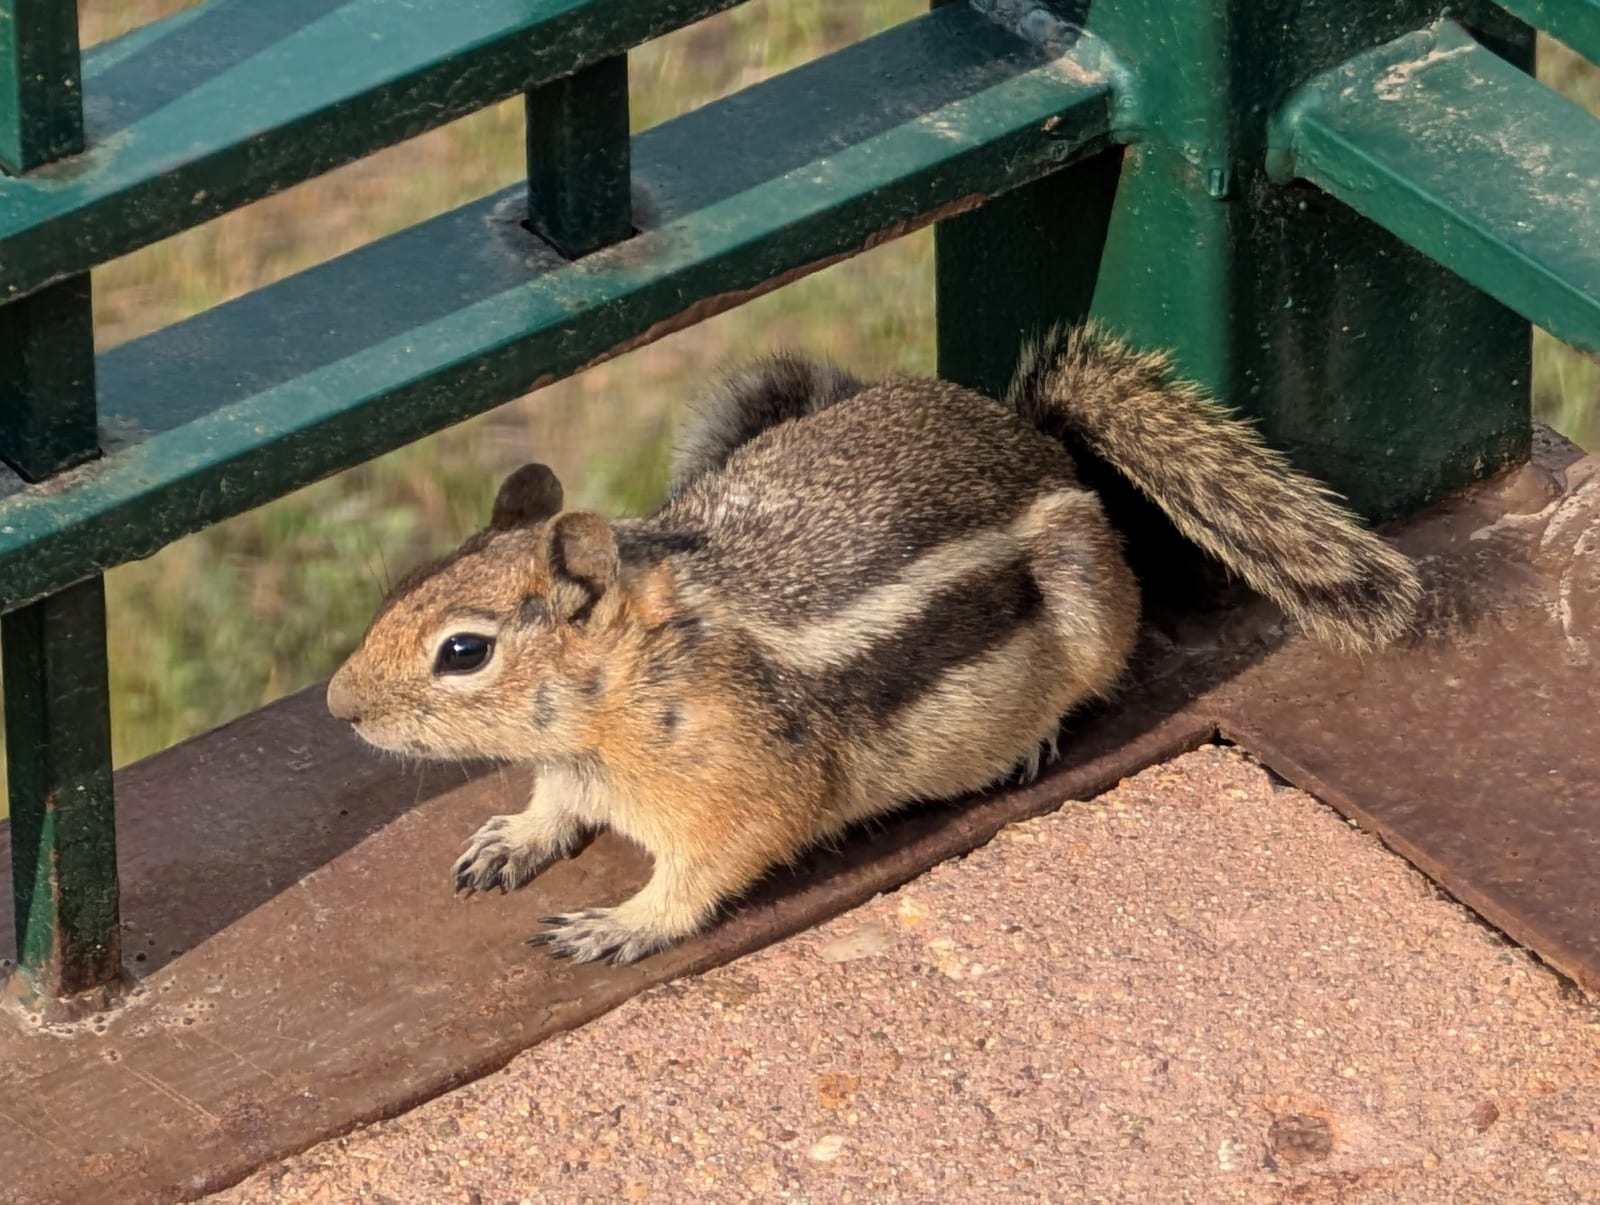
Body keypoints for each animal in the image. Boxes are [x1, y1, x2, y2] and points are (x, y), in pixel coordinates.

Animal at [325, 323, 1421, 965]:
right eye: (403, 589)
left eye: (462, 652)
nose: (341, 707)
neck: (623, 700)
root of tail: (1038, 443)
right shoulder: (571, 766)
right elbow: (552, 805)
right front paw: (514, 837)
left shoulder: (742, 789)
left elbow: (702, 877)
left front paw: (621, 922)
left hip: (1084, 591)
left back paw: (1032, 738)